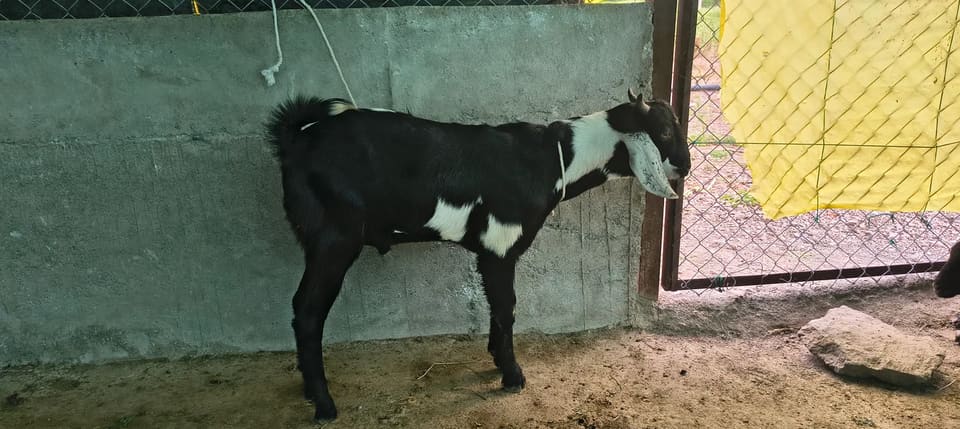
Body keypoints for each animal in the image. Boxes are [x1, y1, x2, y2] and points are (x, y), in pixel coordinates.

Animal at [266, 89, 691, 422]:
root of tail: (295, 141)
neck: (555, 158)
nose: (685, 167)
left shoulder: (491, 251)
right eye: (664, 131)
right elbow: (506, 307)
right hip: (333, 240)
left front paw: (496, 359)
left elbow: (495, 306)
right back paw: (324, 405)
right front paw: (512, 375)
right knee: (308, 311)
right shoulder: (500, 247)